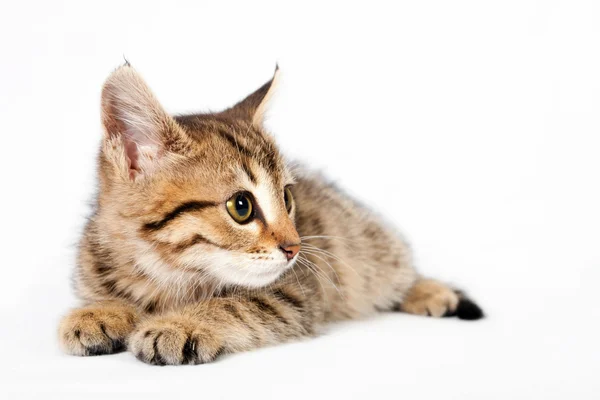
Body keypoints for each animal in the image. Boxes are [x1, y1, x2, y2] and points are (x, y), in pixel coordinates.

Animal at [59, 65, 482, 366]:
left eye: (287, 197)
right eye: (241, 206)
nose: (295, 247)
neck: (163, 272)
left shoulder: (295, 293)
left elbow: (238, 303)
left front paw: (180, 322)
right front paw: (101, 310)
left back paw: (431, 291)